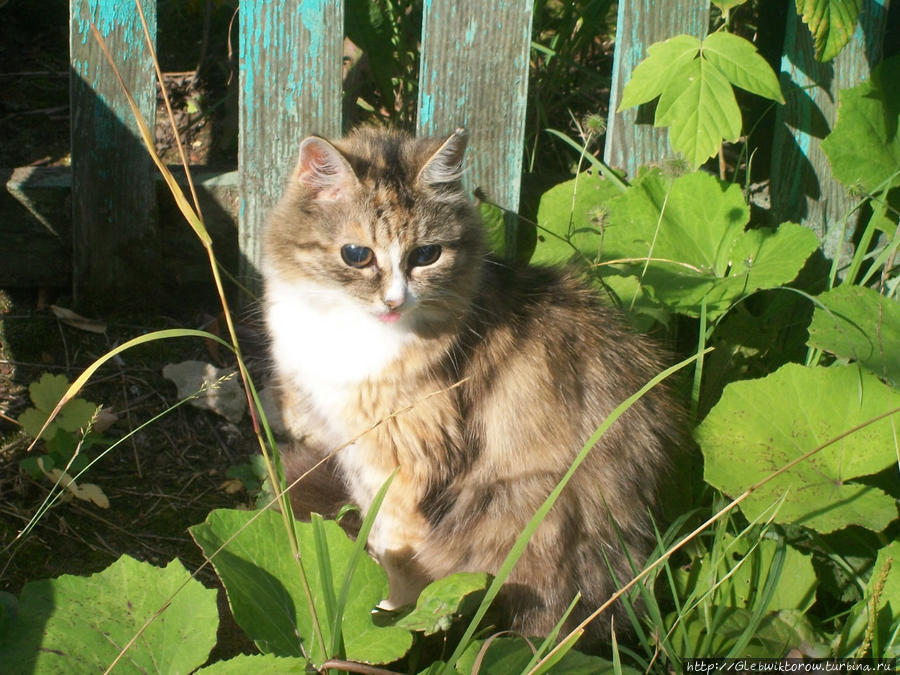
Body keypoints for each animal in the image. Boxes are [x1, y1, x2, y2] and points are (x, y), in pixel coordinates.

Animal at [260, 127, 684, 644]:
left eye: (426, 255)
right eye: (357, 255)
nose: (395, 301)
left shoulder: (405, 462)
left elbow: (396, 554)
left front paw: (388, 619)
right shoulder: (355, 455)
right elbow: (375, 535)